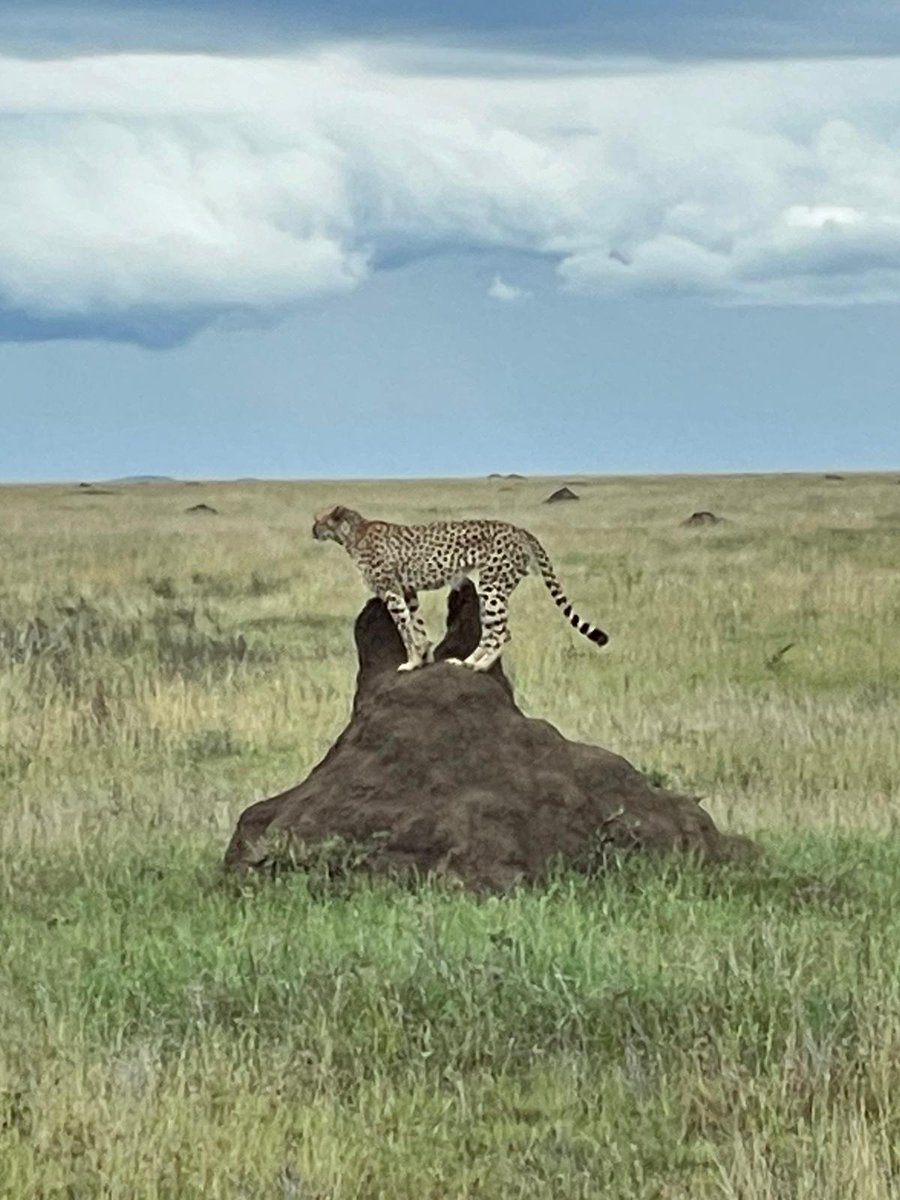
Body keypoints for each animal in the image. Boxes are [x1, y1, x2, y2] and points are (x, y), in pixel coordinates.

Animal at [312, 505, 609, 672]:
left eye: (319, 520)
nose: (312, 530)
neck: (353, 534)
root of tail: (519, 529)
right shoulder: (408, 591)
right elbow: (418, 627)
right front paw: (424, 658)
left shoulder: (391, 591)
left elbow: (405, 630)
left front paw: (410, 662)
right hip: (493, 589)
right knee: (496, 630)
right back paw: (467, 661)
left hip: (491, 587)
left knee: (501, 632)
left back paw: (477, 666)